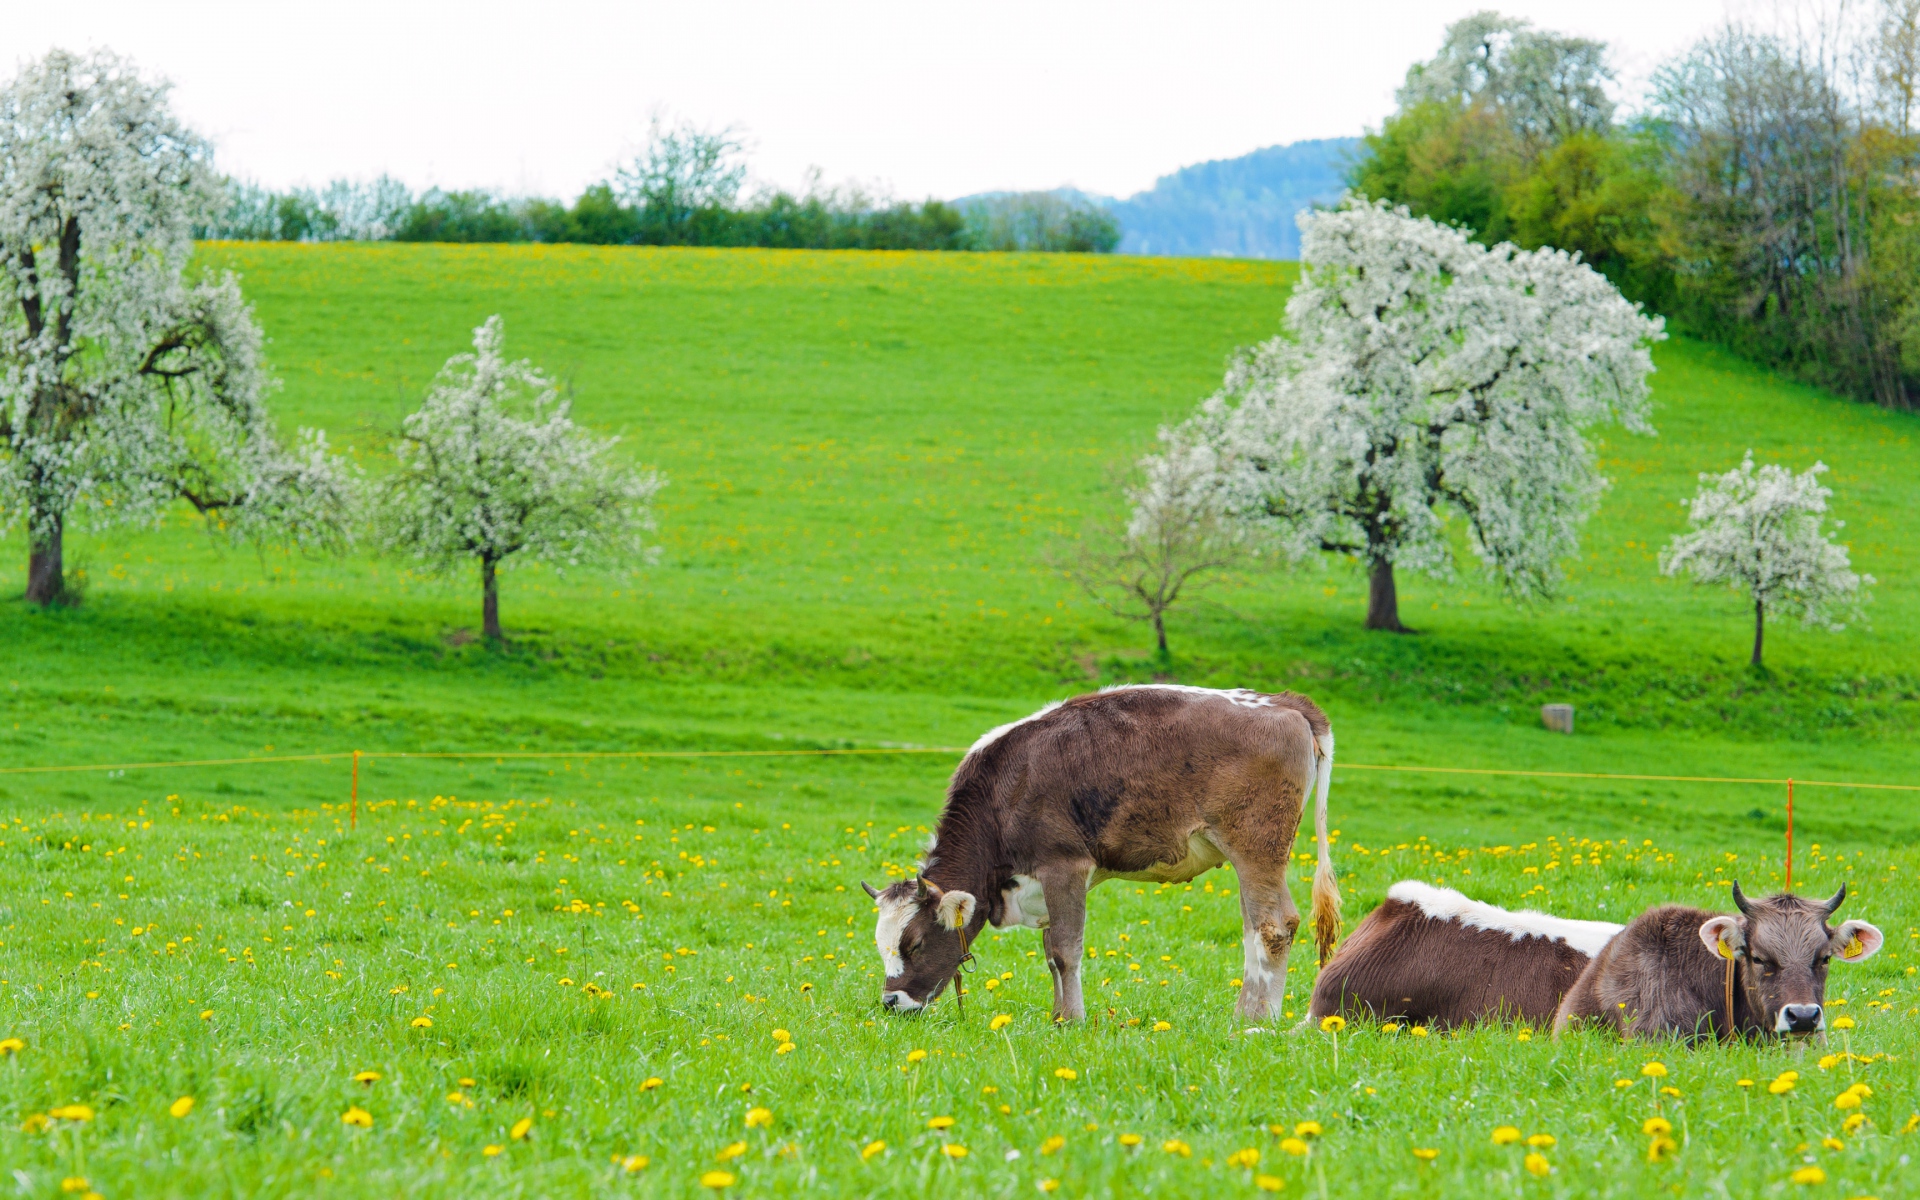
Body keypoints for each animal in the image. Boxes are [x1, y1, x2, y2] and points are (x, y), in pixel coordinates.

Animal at [861, 685, 1339, 1024]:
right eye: (881, 944)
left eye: (915, 943)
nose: (890, 1001)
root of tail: (1283, 702)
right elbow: (1051, 951)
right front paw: (1058, 1016)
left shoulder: (1064, 865)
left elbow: (1064, 950)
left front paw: (1071, 1020)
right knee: (1252, 927)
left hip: (1258, 846)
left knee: (1274, 925)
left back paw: (1254, 1018)